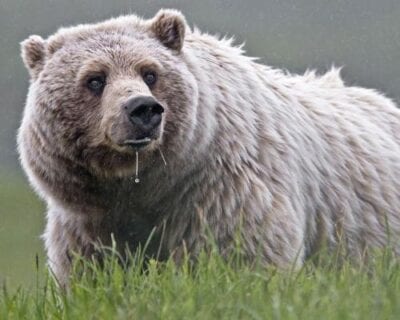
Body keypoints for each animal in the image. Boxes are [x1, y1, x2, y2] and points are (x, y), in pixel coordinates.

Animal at [18, 8, 400, 284]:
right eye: (95, 79)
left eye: (150, 73)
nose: (143, 109)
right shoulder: (91, 221)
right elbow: (95, 271)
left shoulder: (219, 189)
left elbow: (240, 254)